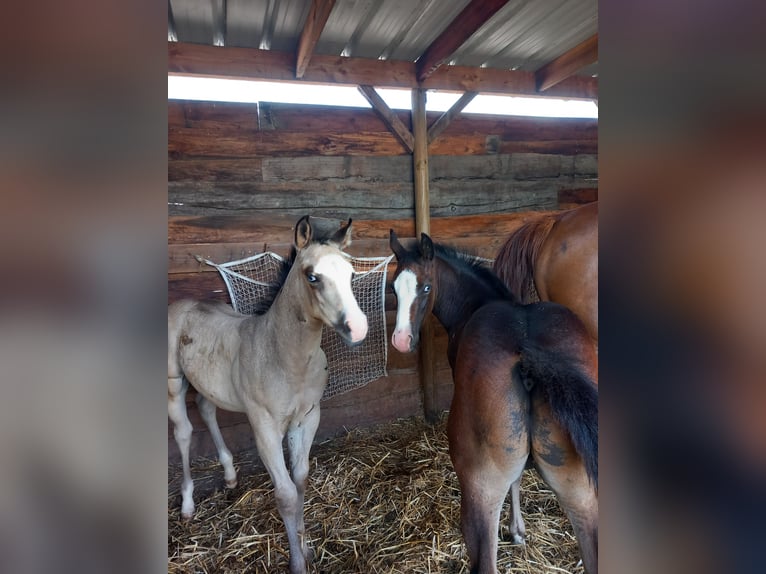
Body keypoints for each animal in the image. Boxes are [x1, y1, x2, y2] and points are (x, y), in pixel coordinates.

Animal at [168, 216, 368, 574]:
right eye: (312, 276)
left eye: (352, 274)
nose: (357, 328)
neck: (286, 358)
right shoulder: (264, 426)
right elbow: (286, 494)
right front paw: (297, 563)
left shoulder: (308, 417)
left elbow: (301, 479)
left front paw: (307, 547)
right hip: (174, 381)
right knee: (184, 431)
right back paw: (188, 504)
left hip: (208, 383)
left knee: (205, 408)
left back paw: (230, 476)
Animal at [389, 230, 598, 574]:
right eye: (394, 288)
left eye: (426, 287)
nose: (401, 341)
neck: (477, 304)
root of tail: (530, 354)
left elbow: (514, 479)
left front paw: (516, 531)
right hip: (583, 493)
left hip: (479, 487)